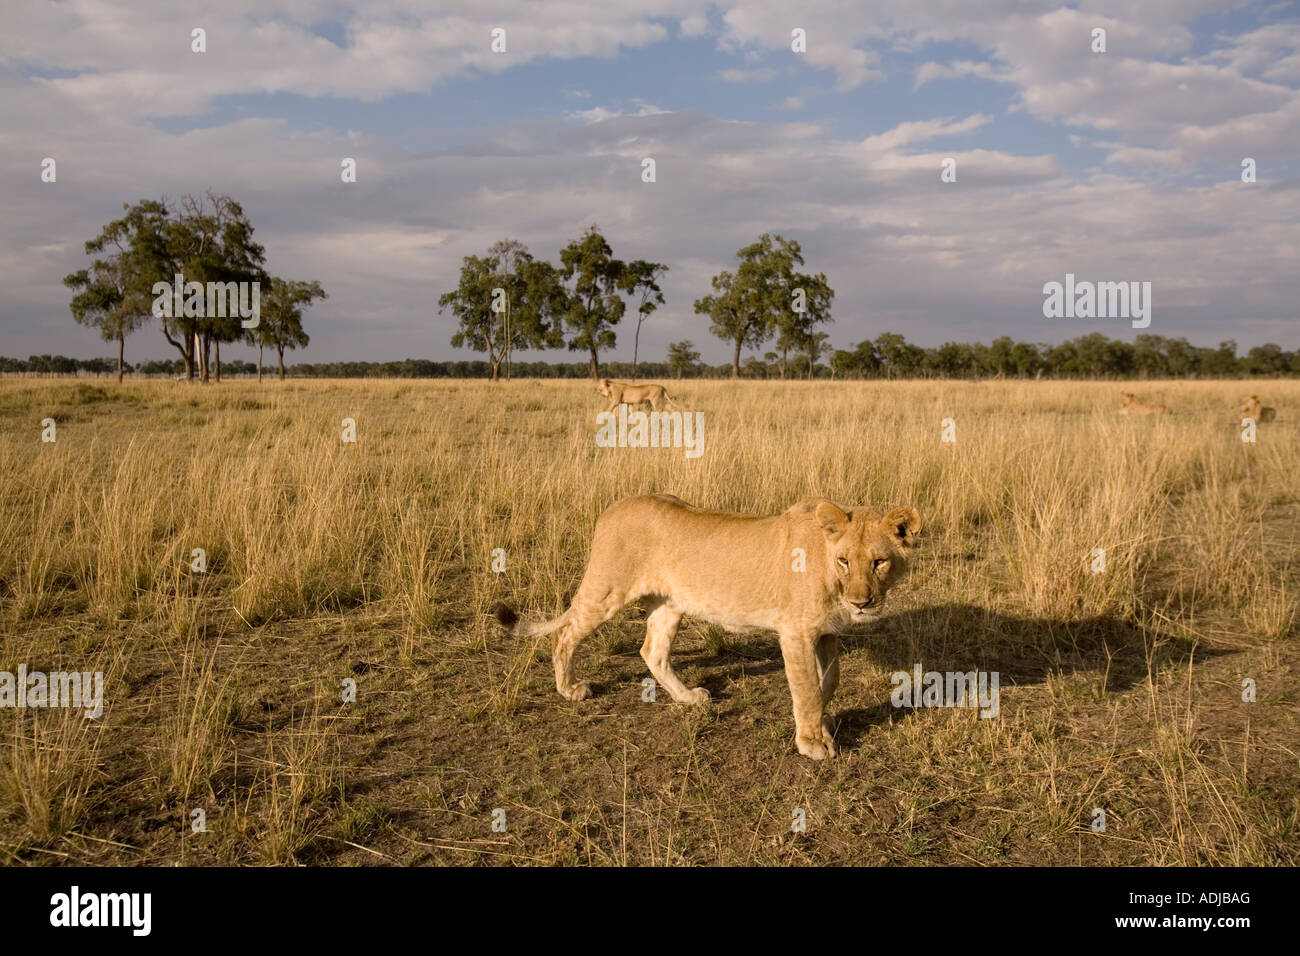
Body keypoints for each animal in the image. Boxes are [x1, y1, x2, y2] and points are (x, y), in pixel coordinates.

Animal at [493, 494, 922, 761]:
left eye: (880, 562)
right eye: (845, 561)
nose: (860, 602)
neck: (828, 571)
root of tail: (611, 509)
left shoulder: (826, 632)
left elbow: (828, 681)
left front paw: (825, 722)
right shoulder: (795, 632)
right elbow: (807, 690)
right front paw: (813, 744)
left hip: (670, 603)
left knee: (652, 651)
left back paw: (688, 698)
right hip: (606, 589)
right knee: (564, 633)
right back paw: (569, 689)